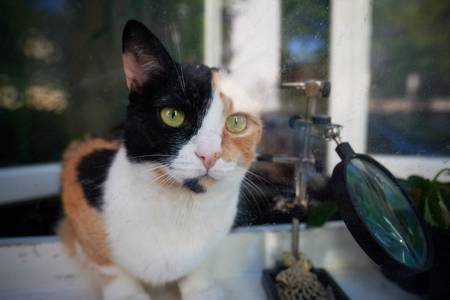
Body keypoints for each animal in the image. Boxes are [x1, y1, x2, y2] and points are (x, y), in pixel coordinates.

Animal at [59, 19, 264, 298]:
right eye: (172, 115)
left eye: (237, 122)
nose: (209, 154)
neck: (182, 208)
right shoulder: (79, 175)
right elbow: (109, 267)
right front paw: (128, 294)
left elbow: (200, 265)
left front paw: (202, 290)